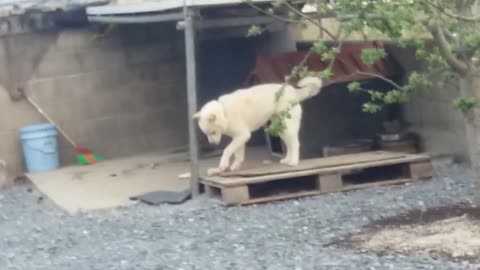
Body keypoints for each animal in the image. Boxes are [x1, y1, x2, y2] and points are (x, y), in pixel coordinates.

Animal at [192, 77, 322, 176]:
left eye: (213, 132)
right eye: (207, 134)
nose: (212, 144)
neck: (224, 111)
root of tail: (292, 91)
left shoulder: (243, 135)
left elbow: (227, 150)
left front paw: (223, 164)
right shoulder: (239, 138)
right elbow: (238, 154)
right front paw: (235, 166)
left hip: (287, 127)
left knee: (295, 144)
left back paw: (293, 162)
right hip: (281, 129)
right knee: (290, 145)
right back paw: (287, 160)